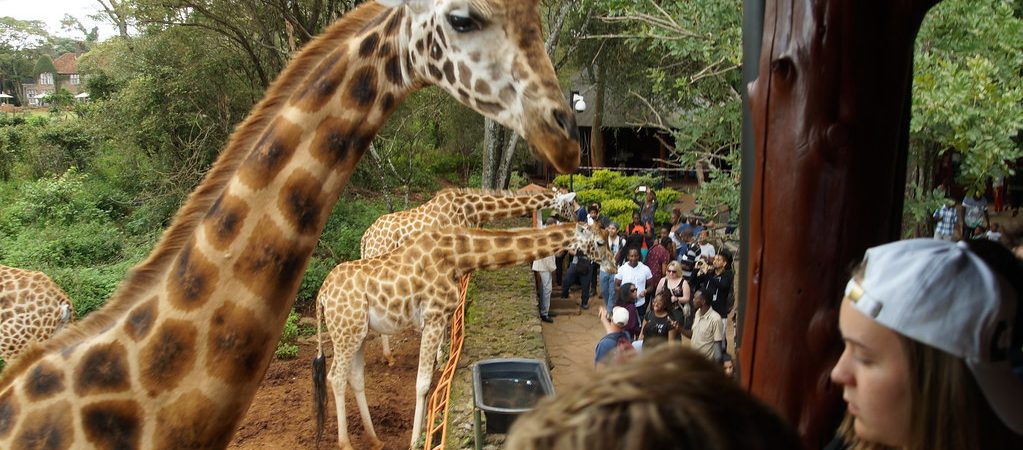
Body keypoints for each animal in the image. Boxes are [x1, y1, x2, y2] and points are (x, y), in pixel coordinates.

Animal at [314, 222, 614, 449]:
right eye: (600, 242)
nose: (612, 267)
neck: (457, 256)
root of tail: (322, 296)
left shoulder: (442, 316)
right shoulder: (433, 316)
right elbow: (423, 384)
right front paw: (416, 441)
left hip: (359, 334)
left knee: (355, 377)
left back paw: (374, 438)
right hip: (346, 333)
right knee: (335, 377)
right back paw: (346, 444)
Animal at [361, 187, 576, 366]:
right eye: (570, 203)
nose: (575, 218)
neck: (469, 208)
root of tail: (365, 237)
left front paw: (444, 349)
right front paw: (442, 356)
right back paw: (388, 356)